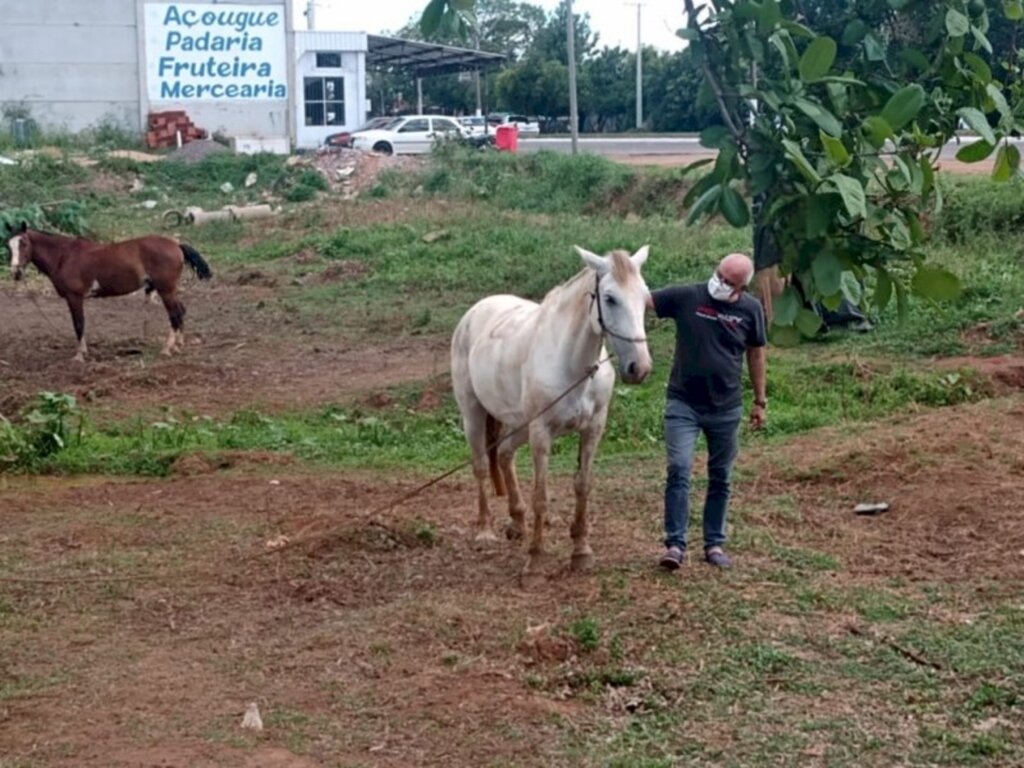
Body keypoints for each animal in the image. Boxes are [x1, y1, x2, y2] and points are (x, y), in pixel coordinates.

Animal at [4, 221, 214, 362]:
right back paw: (178, 345)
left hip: (165, 290)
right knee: (181, 312)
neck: (64, 256)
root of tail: (176, 245)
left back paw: (168, 349)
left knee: (174, 314)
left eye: (23, 243)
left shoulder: (74, 297)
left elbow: (79, 324)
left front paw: (80, 355)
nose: (16, 272)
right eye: (8, 245)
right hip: (170, 290)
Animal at [452, 243, 651, 581]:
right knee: (480, 466)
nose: (640, 368)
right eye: (610, 298)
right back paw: (485, 531)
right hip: (474, 415)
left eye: (645, 297)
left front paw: (581, 551)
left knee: (504, 455)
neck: (573, 365)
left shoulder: (593, 428)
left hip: (518, 425)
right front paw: (534, 562)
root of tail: (475, 311)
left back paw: (518, 522)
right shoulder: (541, 433)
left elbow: (582, 486)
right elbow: (541, 496)